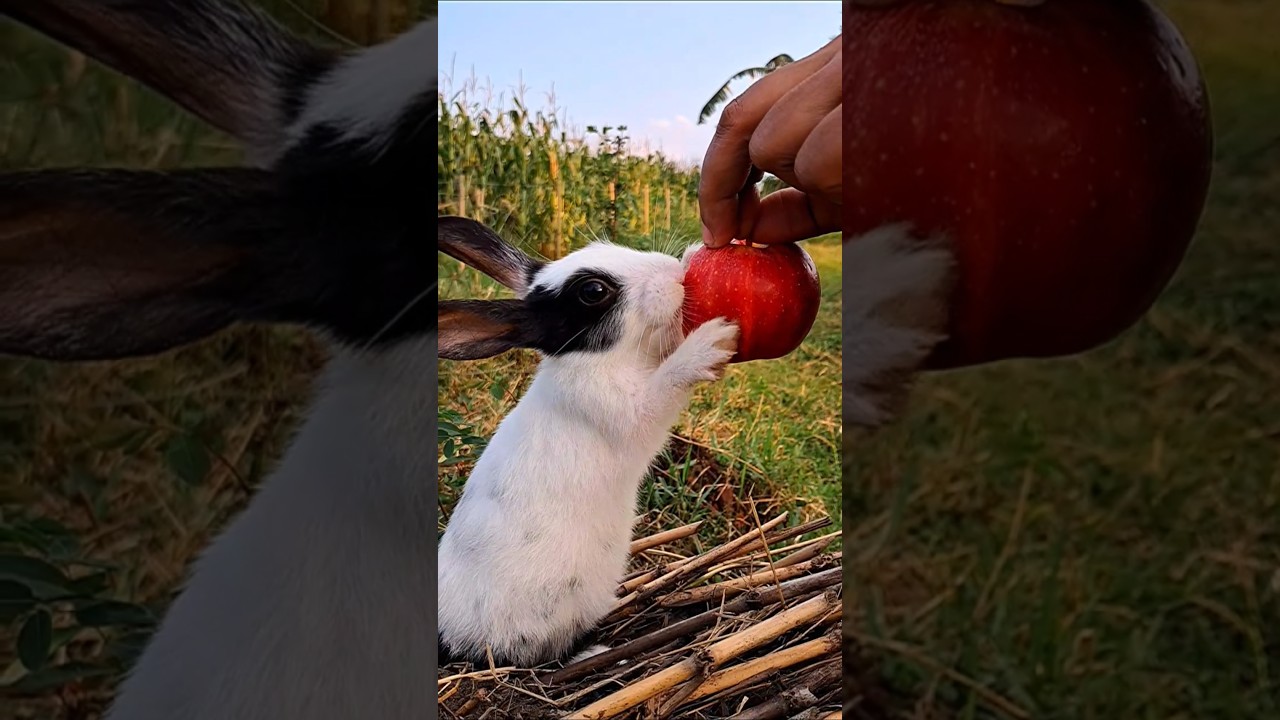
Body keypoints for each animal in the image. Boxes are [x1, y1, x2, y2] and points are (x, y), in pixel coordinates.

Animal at [436, 218, 741, 666]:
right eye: (593, 292)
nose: (674, 274)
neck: (599, 358)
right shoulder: (628, 410)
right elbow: (665, 383)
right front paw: (710, 344)